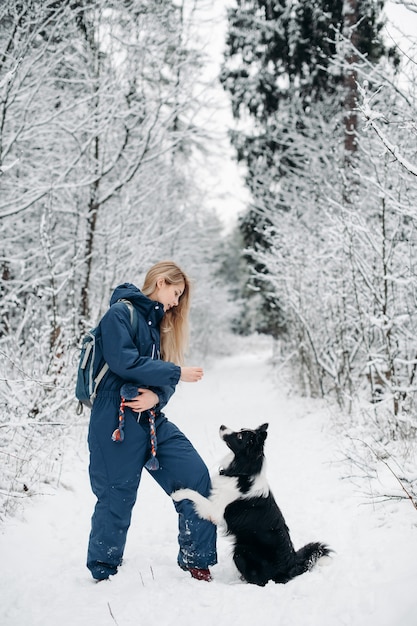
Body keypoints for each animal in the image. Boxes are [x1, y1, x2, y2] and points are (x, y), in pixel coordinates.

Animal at [171, 422, 330, 584]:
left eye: (240, 436)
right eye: (241, 429)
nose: (222, 426)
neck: (242, 472)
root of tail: (291, 565)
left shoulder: (215, 512)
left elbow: (195, 495)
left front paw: (178, 494)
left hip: (241, 551)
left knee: (259, 580)